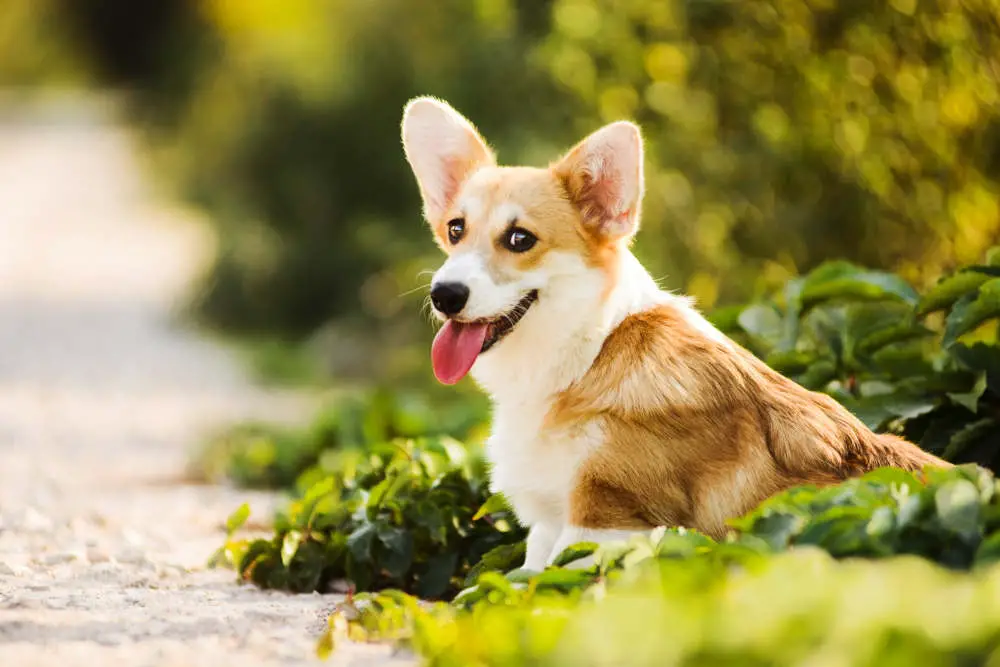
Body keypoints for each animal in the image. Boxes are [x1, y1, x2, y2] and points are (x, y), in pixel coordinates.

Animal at [398, 96, 944, 572]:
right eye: (455, 230)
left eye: (519, 239)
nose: (444, 295)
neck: (587, 357)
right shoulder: (546, 528)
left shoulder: (601, 525)